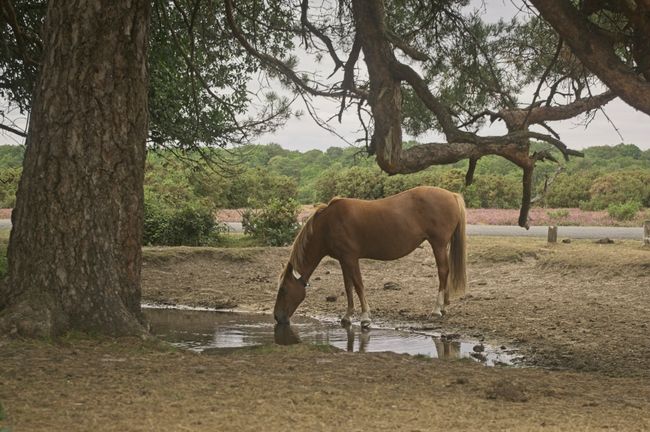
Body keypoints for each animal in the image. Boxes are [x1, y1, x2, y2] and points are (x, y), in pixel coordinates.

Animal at [273, 186, 467, 327]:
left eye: (283, 290)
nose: (277, 317)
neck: (327, 224)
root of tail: (451, 195)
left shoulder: (351, 258)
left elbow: (358, 285)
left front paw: (365, 317)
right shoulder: (343, 260)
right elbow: (348, 286)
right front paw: (347, 316)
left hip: (438, 244)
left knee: (443, 271)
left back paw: (436, 310)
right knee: (446, 272)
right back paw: (444, 307)